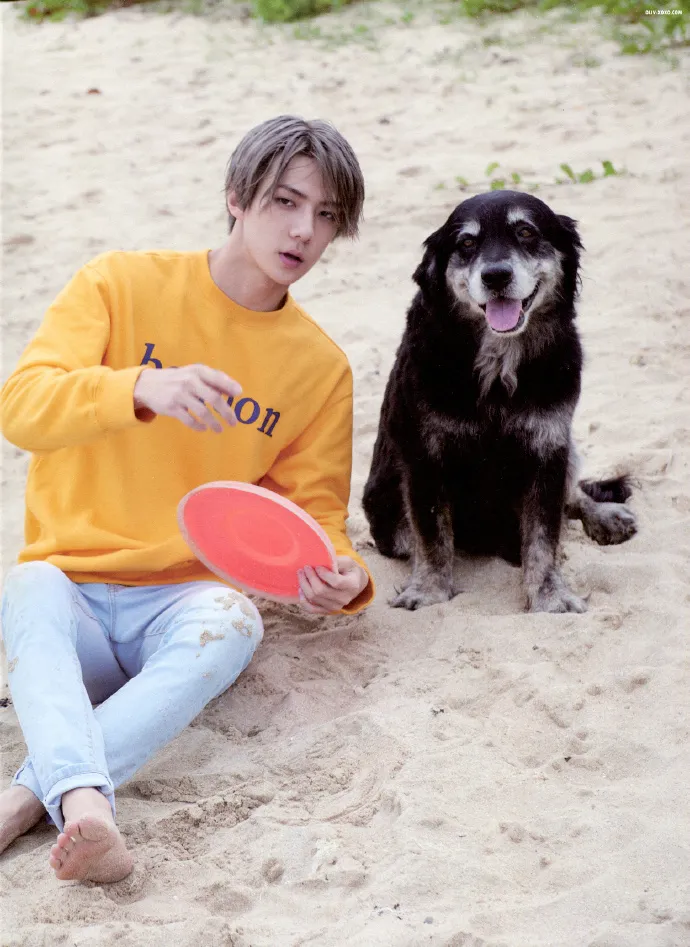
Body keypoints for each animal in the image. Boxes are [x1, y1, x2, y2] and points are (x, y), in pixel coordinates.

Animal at [362, 190, 636, 613]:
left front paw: (549, 595)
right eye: (466, 243)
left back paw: (605, 516)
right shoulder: (424, 457)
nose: (495, 276)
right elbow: (432, 535)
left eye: (525, 232)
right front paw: (428, 592)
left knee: (573, 497)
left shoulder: (548, 448)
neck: (498, 363)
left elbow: (543, 537)